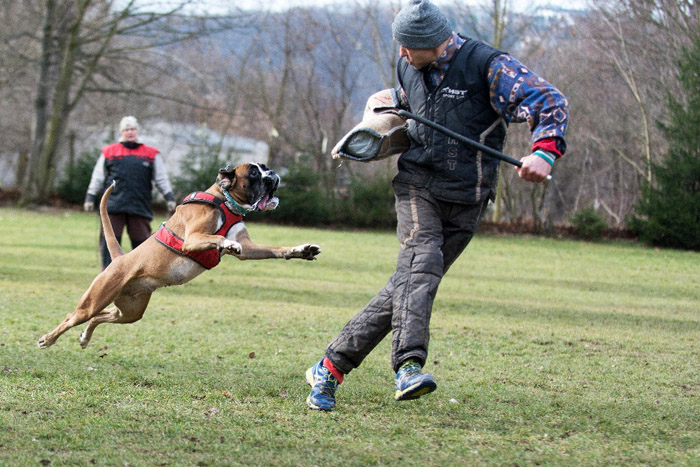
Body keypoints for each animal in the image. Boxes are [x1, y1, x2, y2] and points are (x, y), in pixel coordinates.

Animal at [37, 163, 320, 350]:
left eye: (264, 168)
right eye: (253, 172)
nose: (272, 173)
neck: (225, 200)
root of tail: (120, 258)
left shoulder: (249, 248)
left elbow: (274, 249)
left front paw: (300, 250)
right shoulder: (192, 240)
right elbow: (218, 238)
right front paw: (227, 243)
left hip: (129, 312)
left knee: (100, 316)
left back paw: (85, 338)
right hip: (95, 299)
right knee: (72, 317)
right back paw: (47, 339)